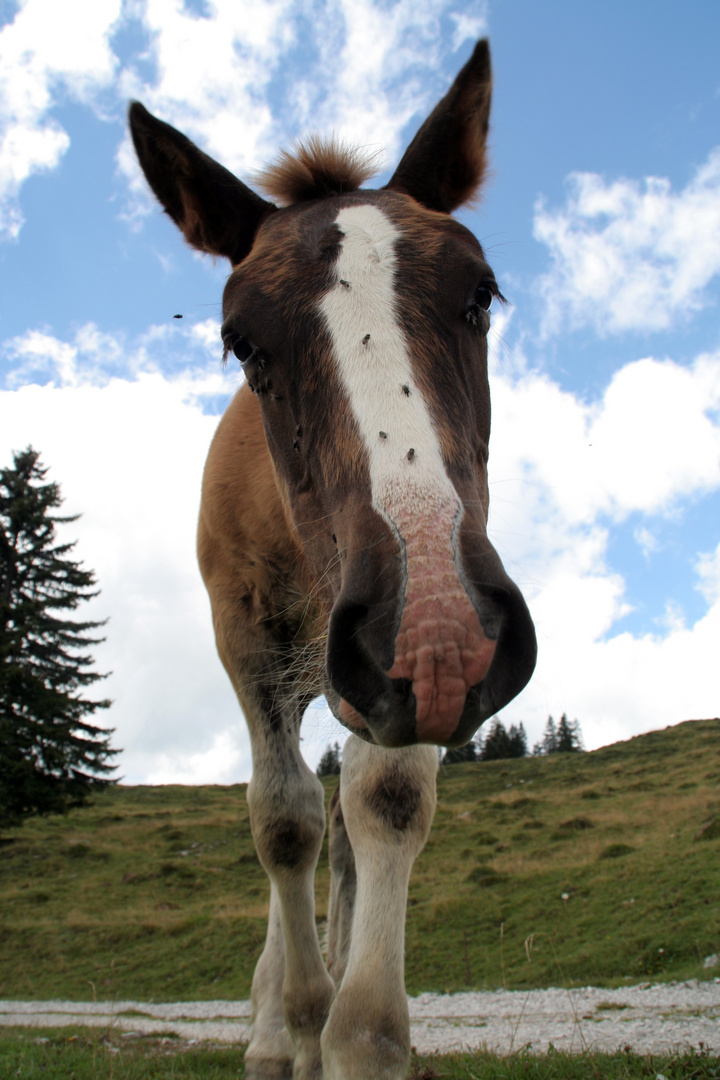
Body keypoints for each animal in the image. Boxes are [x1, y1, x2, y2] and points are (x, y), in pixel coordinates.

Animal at [127, 39, 535, 1080]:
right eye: (240, 340)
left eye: (481, 295)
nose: (435, 631)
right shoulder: (249, 644)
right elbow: (282, 820)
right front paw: (301, 1021)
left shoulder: (399, 666)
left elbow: (381, 802)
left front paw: (360, 1034)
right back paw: (274, 1025)